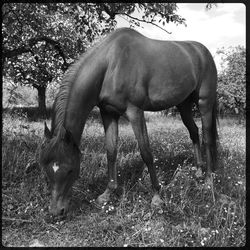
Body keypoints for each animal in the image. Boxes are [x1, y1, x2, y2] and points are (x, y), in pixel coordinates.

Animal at [39, 26, 219, 215]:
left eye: (71, 169)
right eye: (45, 170)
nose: (56, 211)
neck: (111, 65)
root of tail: (203, 52)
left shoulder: (135, 112)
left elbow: (146, 152)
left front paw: (157, 197)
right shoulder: (108, 114)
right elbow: (111, 151)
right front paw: (107, 193)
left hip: (204, 103)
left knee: (207, 138)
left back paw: (208, 180)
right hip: (184, 105)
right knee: (194, 132)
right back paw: (198, 171)